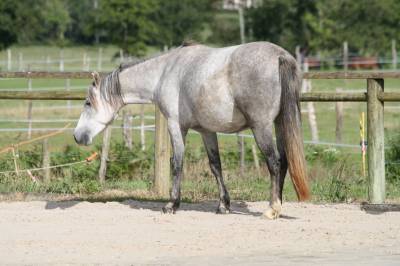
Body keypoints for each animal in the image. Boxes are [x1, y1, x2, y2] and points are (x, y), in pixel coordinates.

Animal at [76, 41, 312, 219]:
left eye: (87, 103)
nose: (77, 136)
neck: (164, 72)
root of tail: (280, 56)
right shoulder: (207, 131)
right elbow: (216, 165)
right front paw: (223, 205)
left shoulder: (175, 126)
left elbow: (177, 163)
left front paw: (172, 204)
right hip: (279, 124)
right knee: (284, 162)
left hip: (261, 127)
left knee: (274, 163)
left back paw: (272, 209)